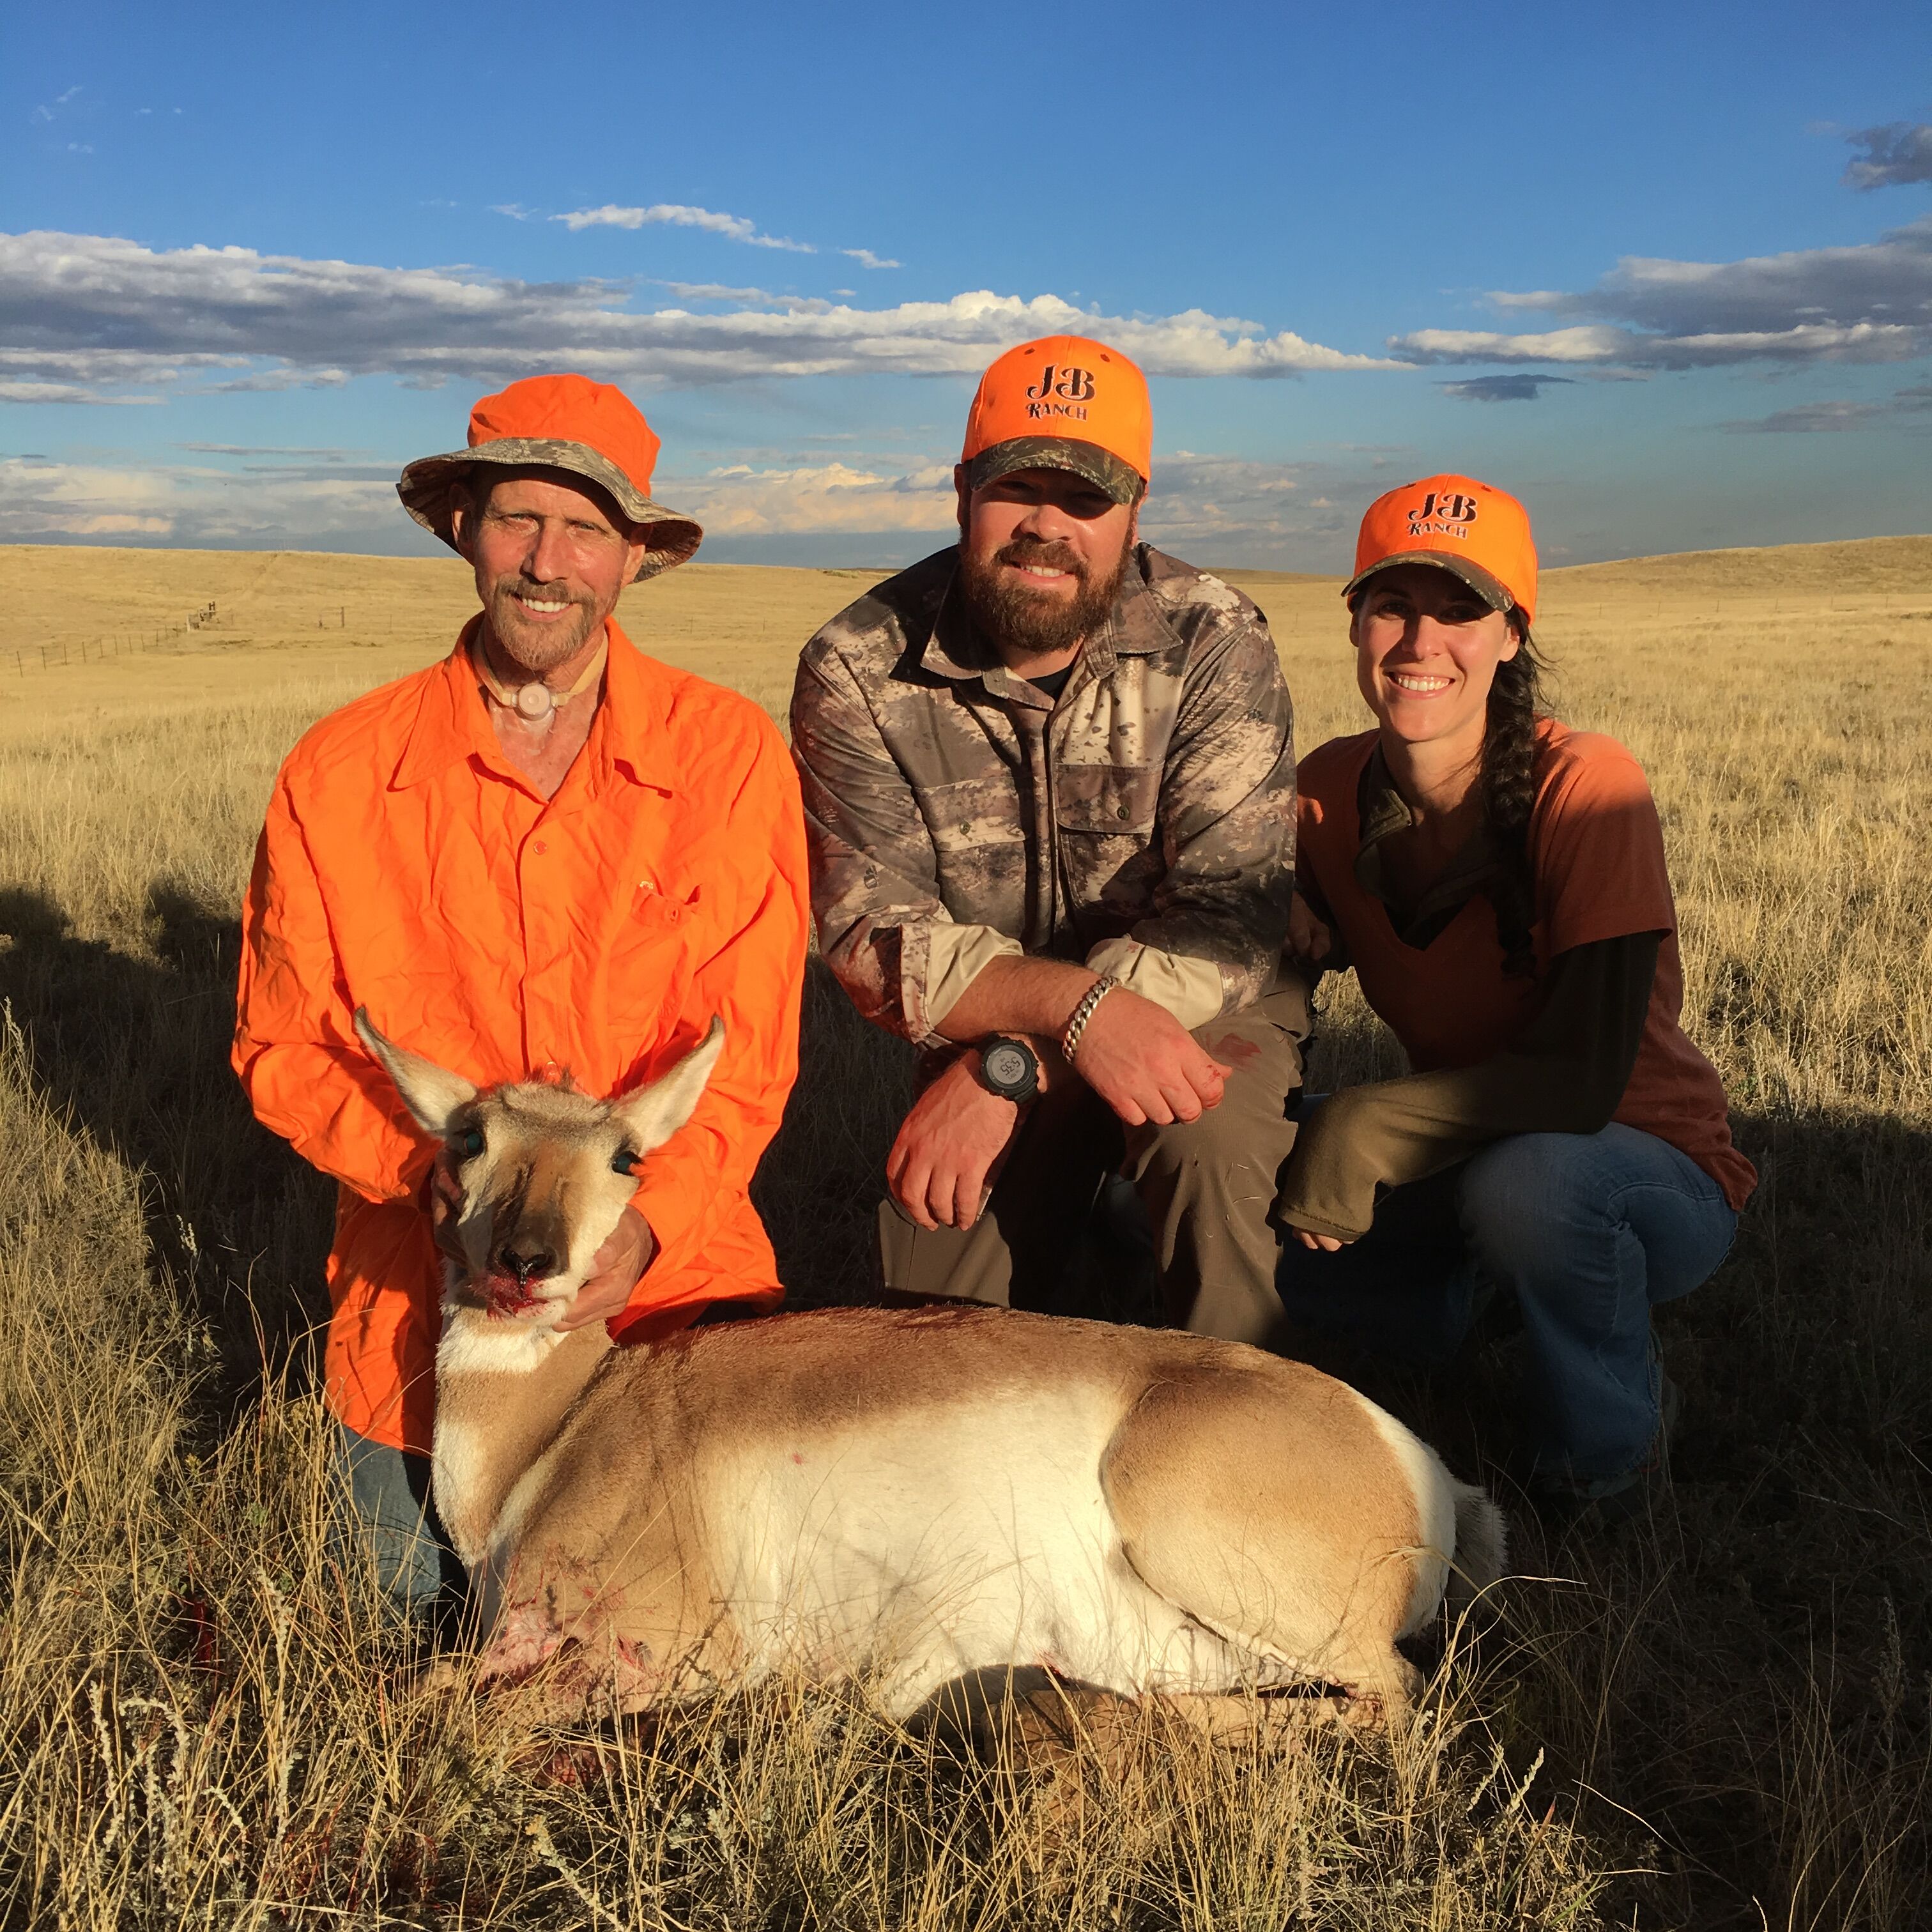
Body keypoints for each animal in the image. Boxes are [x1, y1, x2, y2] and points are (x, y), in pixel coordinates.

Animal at [355, 1012, 1499, 1723]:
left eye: (626, 1157)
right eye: (469, 1138)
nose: (526, 1263)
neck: (561, 1430)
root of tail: (1423, 1467)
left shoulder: (667, 1652)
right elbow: (421, 1686)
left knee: (1393, 1702)